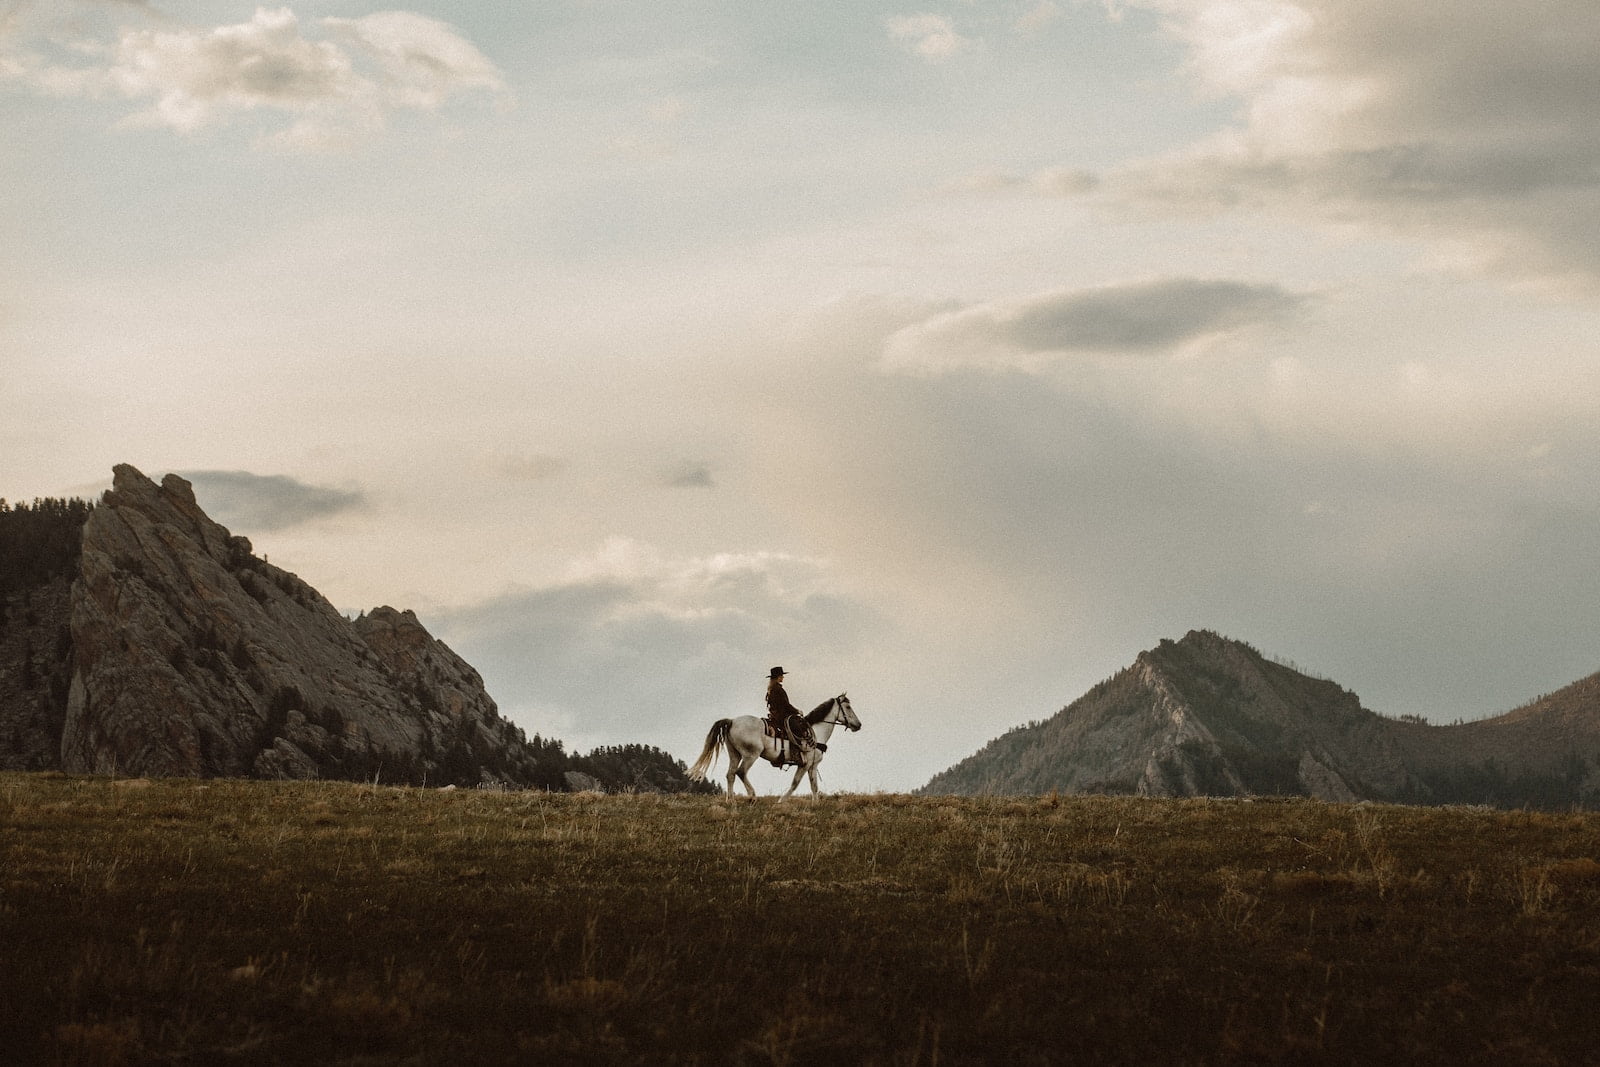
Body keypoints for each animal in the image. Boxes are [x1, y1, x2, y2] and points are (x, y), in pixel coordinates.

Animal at [688, 697, 864, 796]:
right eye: (848, 707)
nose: (858, 725)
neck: (816, 732)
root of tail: (732, 721)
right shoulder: (805, 764)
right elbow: (795, 784)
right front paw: (781, 800)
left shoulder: (813, 765)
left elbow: (814, 786)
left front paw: (816, 804)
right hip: (751, 755)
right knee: (741, 772)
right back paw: (752, 796)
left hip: (735, 754)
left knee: (730, 774)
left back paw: (730, 801)